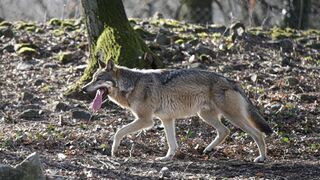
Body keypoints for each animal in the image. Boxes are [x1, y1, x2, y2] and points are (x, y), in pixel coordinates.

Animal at [82, 58, 272, 162]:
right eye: (92, 78)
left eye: (98, 79)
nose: (83, 88)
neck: (131, 84)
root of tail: (232, 81)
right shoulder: (166, 119)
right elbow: (172, 143)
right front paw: (167, 158)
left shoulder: (146, 120)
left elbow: (118, 132)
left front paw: (114, 150)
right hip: (205, 115)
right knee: (224, 131)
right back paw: (207, 149)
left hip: (232, 117)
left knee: (258, 134)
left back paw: (262, 158)